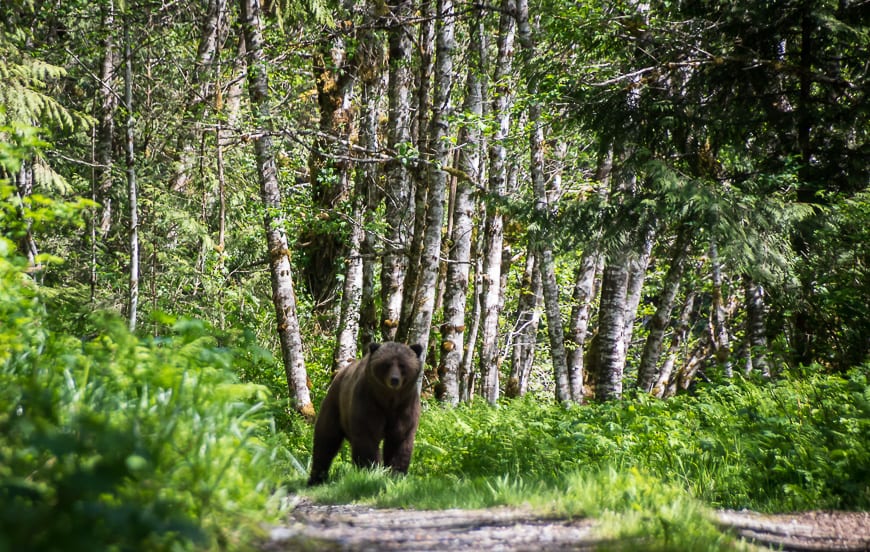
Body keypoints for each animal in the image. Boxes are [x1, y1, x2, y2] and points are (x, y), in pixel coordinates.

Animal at [310, 340, 426, 488]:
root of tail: (339, 374)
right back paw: (316, 478)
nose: (394, 379)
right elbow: (367, 436)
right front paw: (370, 469)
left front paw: (395, 473)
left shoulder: (405, 406)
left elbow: (399, 439)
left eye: (402, 365)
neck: (388, 399)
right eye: (387, 364)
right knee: (326, 439)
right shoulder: (368, 402)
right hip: (335, 405)